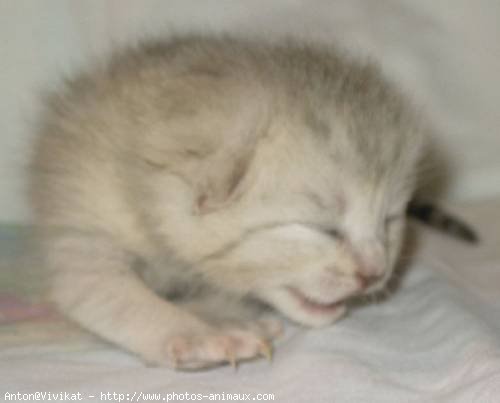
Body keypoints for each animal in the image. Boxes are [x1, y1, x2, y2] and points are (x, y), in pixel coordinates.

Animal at [28, 34, 426, 370]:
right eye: (322, 228)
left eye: (389, 221)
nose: (375, 273)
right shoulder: (82, 224)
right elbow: (111, 295)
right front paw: (201, 335)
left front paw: (223, 315)